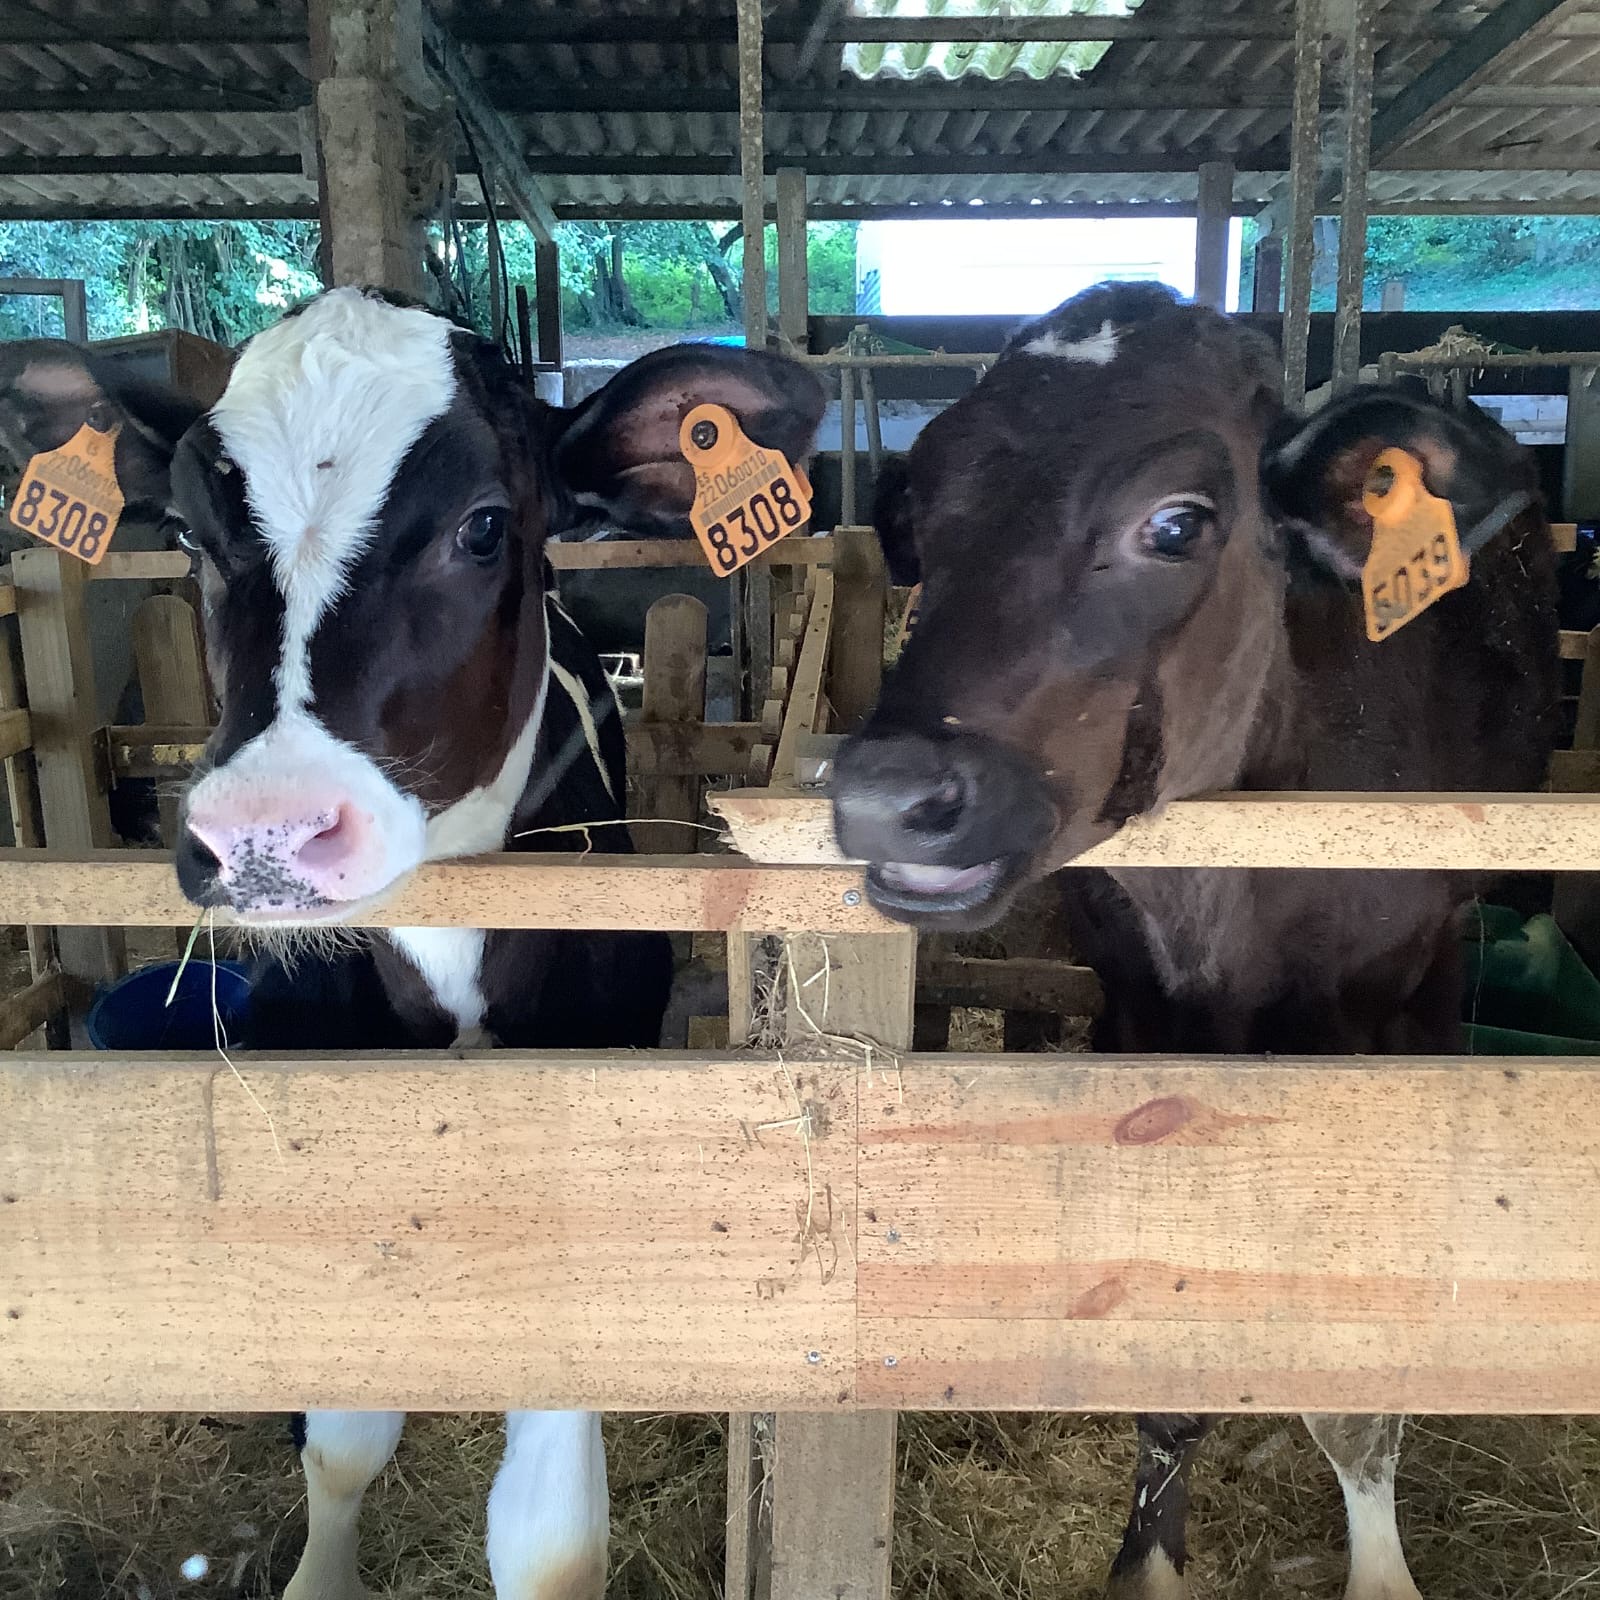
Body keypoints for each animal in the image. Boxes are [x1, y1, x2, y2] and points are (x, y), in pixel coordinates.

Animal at [830, 281, 1558, 1600]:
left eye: (1175, 523)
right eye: (920, 511)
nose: (884, 794)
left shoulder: (1368, 1028)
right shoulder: (1136, 1013)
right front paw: (1150, 1558)